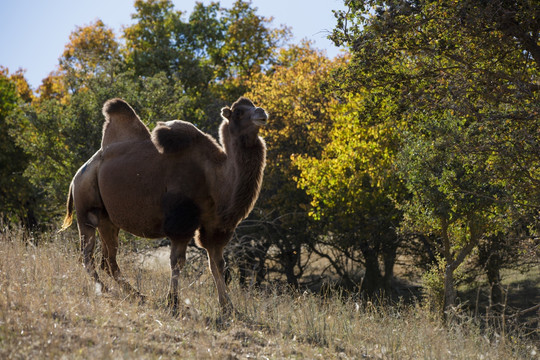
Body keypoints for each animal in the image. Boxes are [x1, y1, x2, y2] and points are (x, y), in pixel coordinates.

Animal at [62, 97, 266, 314]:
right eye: (239, 112)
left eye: (253, 105)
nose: (262, 113)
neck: (213, 174)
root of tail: (77, 176)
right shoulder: (181, 223)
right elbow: (177, 262)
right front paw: (173, 302)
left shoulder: (214, 226)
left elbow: (217, 264)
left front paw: (228, 307)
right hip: (86, 209)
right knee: (87, 256)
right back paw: (105, 289)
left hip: (107, 220)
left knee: (108, 260)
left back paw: (137, 295)